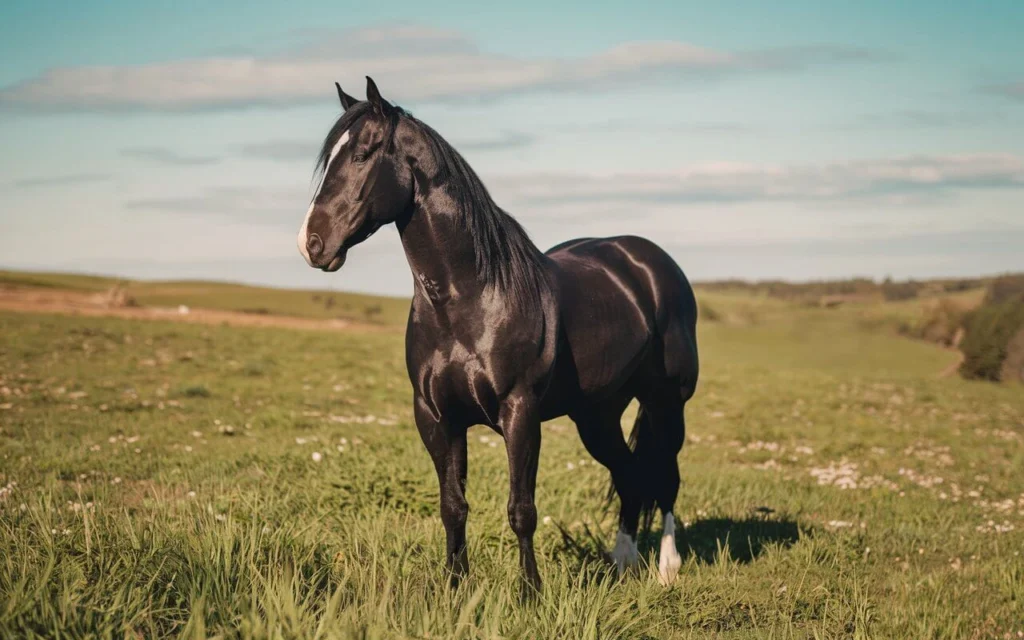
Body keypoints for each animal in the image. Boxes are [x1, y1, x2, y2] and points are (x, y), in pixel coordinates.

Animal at [296, 77, 696, 589]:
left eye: (363, 153)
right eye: (330, 157)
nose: (311, 243)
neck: (471, 298)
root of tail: (649, 263)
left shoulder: (520, 413)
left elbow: (521, 510)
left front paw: (530, 592)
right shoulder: (436, 417)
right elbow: (453, 507)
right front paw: (454, 585)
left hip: (667, 403)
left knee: (665, 477)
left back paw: (667, 567)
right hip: (597, 413)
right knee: (629, 475)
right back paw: (622, 563)